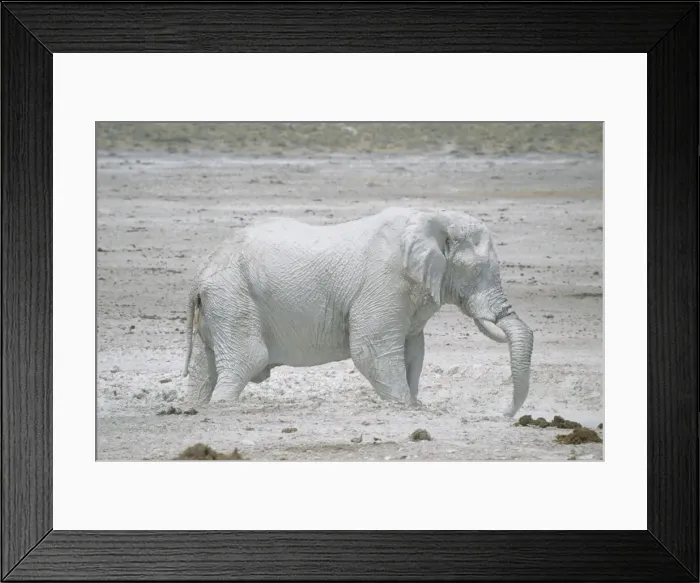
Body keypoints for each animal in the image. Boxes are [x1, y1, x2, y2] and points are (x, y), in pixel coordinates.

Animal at [182, 206, 534, 417]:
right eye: (476, 271)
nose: (503, 414)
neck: (434, 217)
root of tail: (198, 274)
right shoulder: (385, 281)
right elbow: (371, 350)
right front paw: (405, 407)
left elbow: (413, 352)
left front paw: (414, 406)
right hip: (232, 297)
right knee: (247, 359)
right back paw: (223, 407)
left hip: (220, 305)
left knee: (205, 369)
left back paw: (196, 406)